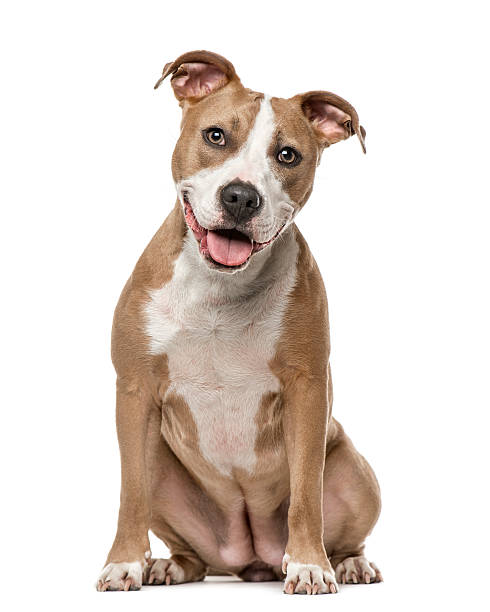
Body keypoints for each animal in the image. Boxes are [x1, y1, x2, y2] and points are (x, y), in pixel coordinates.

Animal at [97, 50, 380, 596]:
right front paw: (124, 564)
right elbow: (129, 493)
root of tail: (249, 558)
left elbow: (306, 493)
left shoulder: (307, 391)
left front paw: (310, 565)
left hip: (356, 474)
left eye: (288, 155)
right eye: (215, 136)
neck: (218, 290)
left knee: (342, 526)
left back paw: (348, 564)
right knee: (190, 548)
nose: (241, 197)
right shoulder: (135, 390)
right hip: (166, 472)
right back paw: (170, 566)